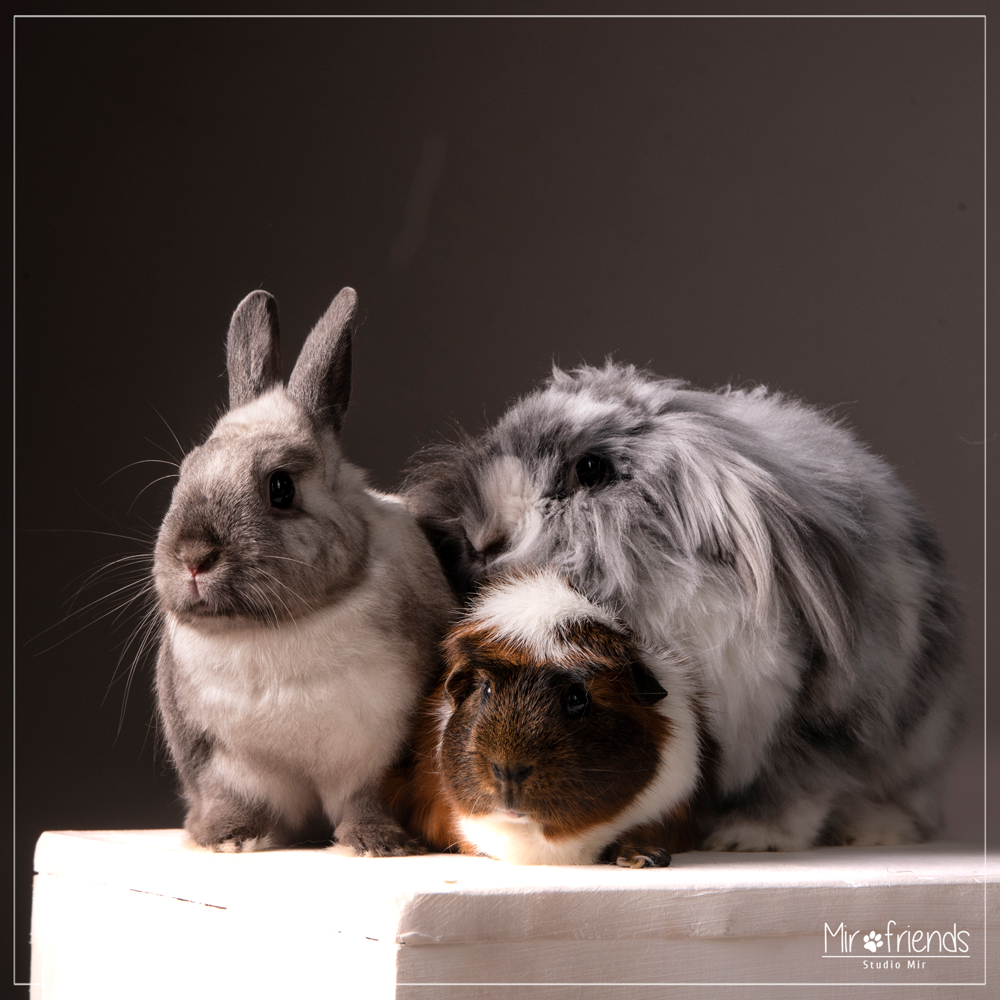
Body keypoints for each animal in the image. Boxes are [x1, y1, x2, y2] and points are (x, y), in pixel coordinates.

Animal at [153, 286, 454, 856]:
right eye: (185, 473)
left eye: (281, 487)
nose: (193, 556)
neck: (273, 629)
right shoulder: (224, 763)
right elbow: (234, 800)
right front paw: (227, 839)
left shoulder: (382, 753)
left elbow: (368, 801)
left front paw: (377, 845)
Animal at [400, 364, 968, 848]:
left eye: (591, 469)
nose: (480, 539)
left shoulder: (808, 723)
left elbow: (795, 789)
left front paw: (748, 838)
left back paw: (875, 830)